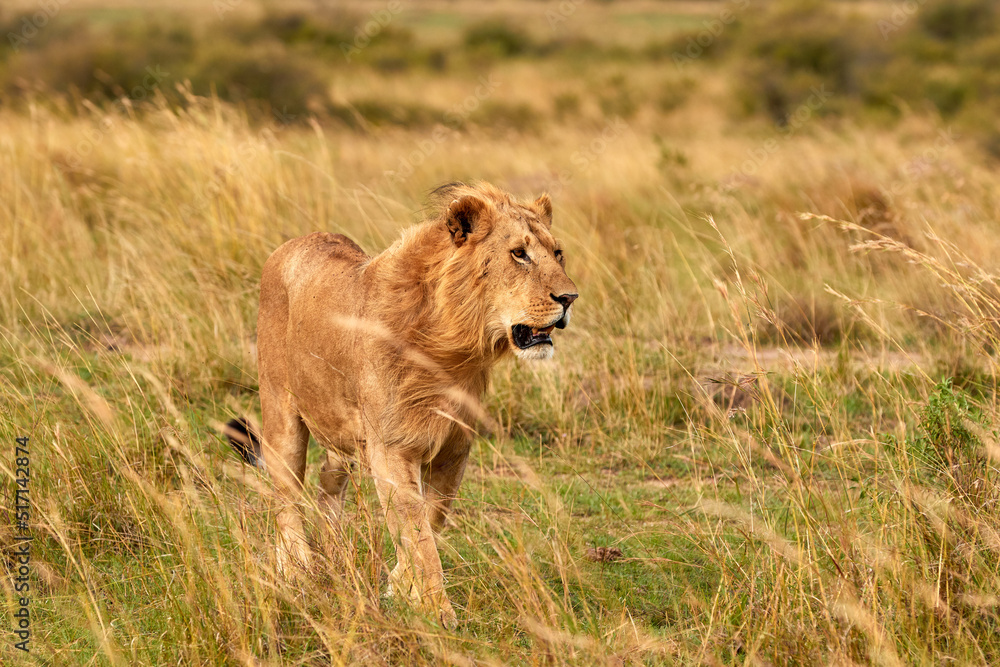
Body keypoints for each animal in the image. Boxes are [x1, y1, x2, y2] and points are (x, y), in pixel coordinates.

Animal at [227, 181, 577, 627]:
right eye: (519, 253)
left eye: (558, 253)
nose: (569, 298)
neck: (453, 349)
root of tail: (293, 243)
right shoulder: (391, 448)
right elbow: (417, 532)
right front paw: (437, 612)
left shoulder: (454, 447)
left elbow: (431, 521)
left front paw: (401, 587)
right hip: (281, 413)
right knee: (285, 494)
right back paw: (296, 567)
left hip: (341, 428)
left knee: (329, 482)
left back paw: (333, 552)